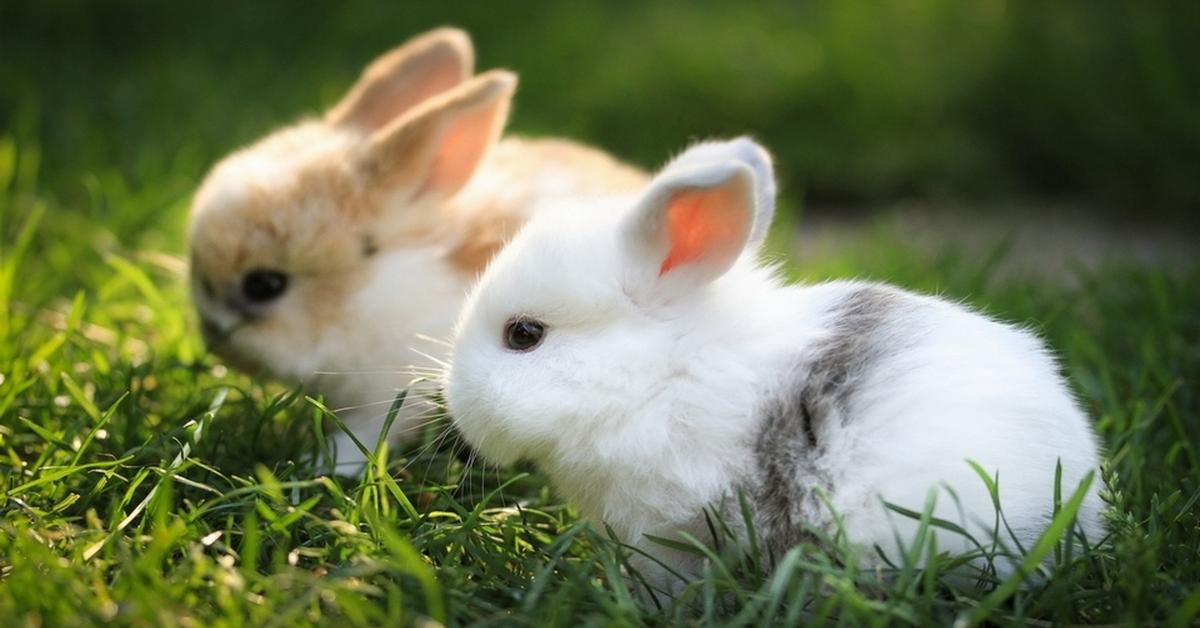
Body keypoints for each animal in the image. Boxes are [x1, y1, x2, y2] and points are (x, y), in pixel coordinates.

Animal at [187, 29, 648, 470]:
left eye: (265, 284)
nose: (213, 339)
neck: (368, 292)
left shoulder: (394, 391)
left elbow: (367, 434)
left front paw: (320, 465)